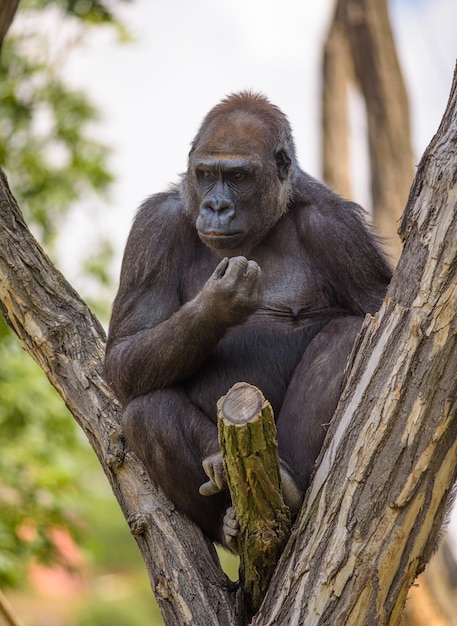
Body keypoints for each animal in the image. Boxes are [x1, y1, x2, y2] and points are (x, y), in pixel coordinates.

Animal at [104, 91, 392, 544]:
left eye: (238, 176)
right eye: (206, 174)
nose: (216, 206)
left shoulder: (339, 229)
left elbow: (380, 313)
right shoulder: (153, 227)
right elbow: (123, 352)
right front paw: (218, 303)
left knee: (345, 334)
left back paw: (290, 489)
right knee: (145, 409)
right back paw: (226, 519)